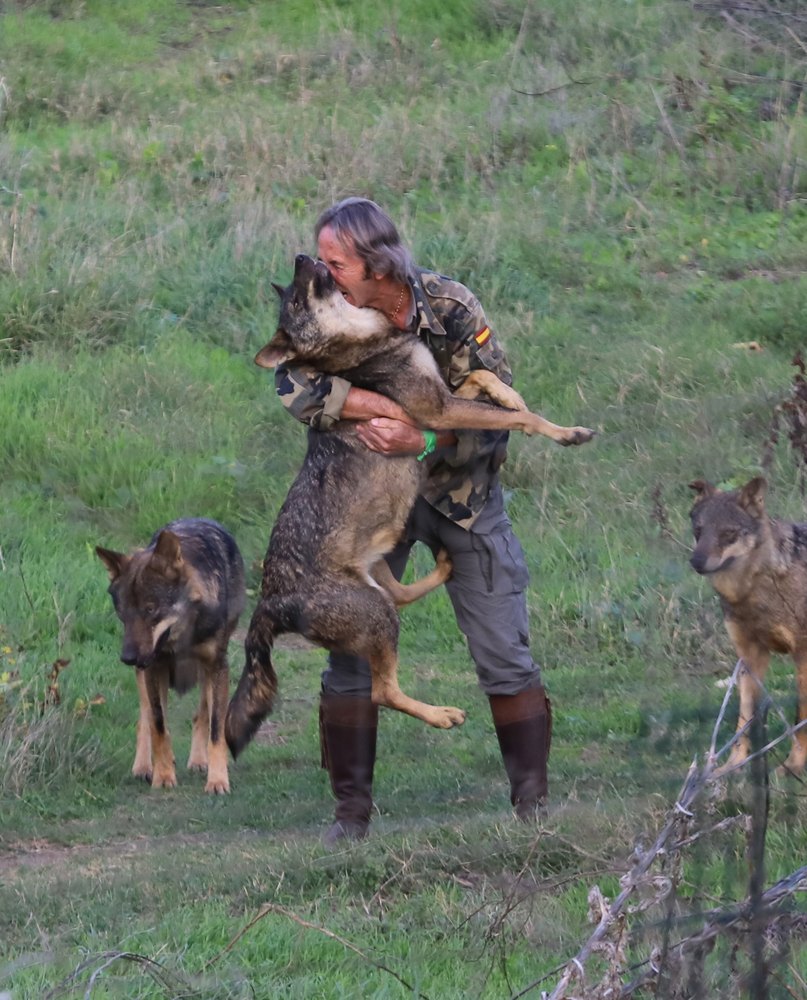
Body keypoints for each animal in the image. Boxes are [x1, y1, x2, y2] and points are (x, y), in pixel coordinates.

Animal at [97, 518, 246, 793]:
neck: (182, 638)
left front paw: (218, 781)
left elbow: (216, 730)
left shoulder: (217, 667)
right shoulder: (154, 668)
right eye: (123, 613)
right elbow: (158, 726)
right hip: (149, 675)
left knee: (201, 715)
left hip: (205, 674)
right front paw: (163, 776)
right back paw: (144, 766)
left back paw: (198, 761)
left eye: (150, 609)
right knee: (146, 720)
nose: (128, 658)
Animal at [689, 476, 807, 776]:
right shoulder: (751, 656)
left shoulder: (802, 655)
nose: (696, 562)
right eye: (699, 531)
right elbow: (744, 719)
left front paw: (794, 765)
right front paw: (732, 764)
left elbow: (799, 717)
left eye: (728, 533)